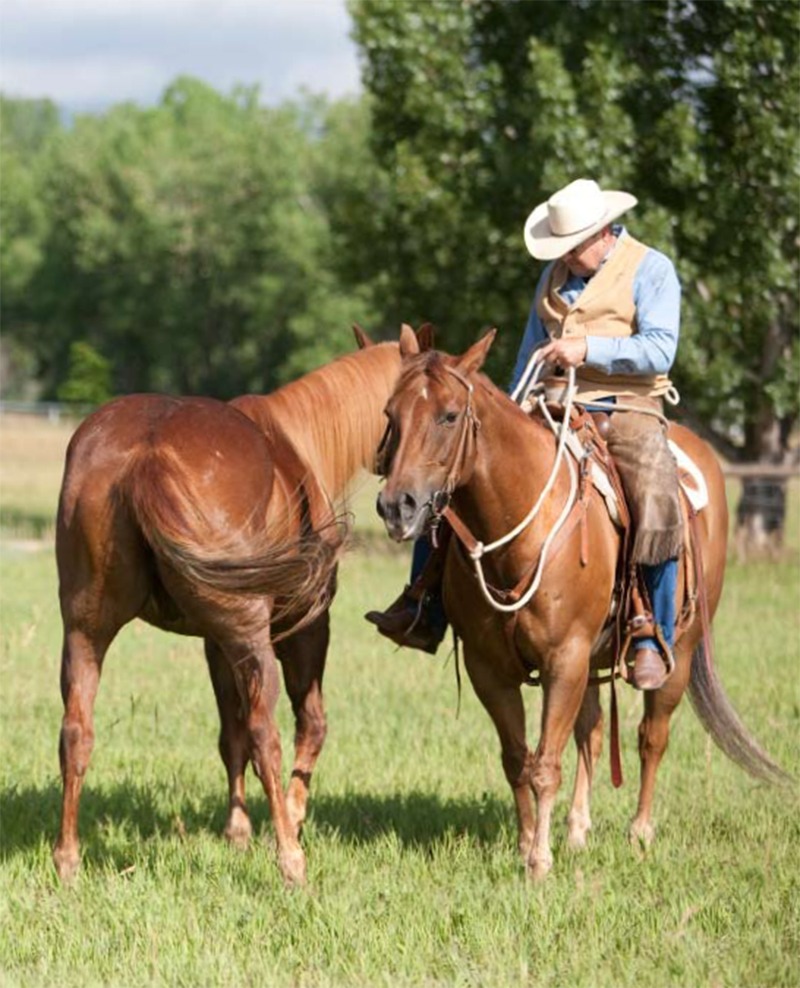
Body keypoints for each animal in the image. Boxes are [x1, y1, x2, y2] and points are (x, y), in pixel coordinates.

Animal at [53, 324, 418, 887]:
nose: (405, 501)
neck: (296, 440)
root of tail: (146, 454)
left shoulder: (214, 641)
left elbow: (230, 736)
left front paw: (237, 831)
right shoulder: (302, 631)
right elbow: (306, 725)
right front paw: (286, 820)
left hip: (85, 632)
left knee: (76, 732)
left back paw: (68, 860)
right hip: (253, 641)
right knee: (267, 734)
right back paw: (291, 859)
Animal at [375, 326, 788, 880]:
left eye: (449, 415)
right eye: (390, 414)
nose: (396, 506)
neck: (520, 530)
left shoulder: (563, 659)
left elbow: (546, 764)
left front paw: (539, 862)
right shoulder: (491, 668)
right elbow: (518, 759)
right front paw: (528, 843)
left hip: (678, 650)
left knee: (651, 735)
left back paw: (639, 832)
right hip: (592, 662)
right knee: (592, 735)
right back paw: (577, 830)